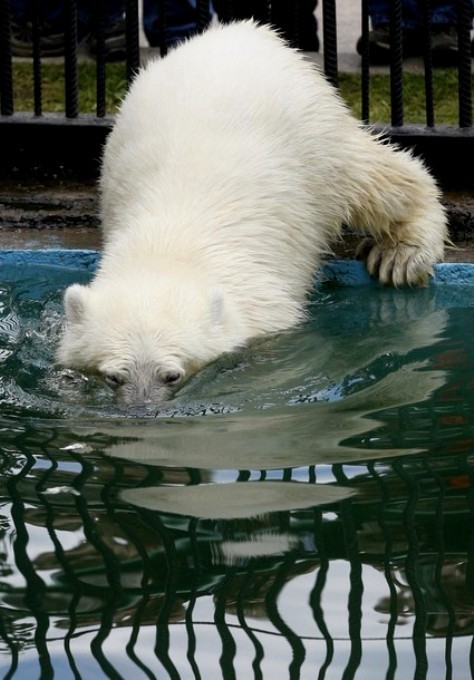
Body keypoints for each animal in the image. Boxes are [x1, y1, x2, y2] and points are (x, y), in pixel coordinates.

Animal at [56, 19, 448, 404]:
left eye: (171, 374)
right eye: (114, 376)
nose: (141, 408)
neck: (165, 247)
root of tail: (244, 31)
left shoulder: (265, 304)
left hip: (318, 141)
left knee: (374, 180)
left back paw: (401, 255)